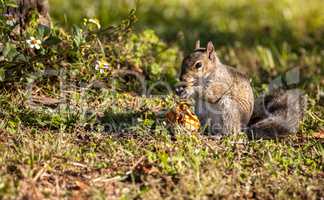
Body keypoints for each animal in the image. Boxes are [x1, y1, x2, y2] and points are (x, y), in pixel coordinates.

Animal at [177, 39, 306, 138]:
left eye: (198, 65)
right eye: (183, 60)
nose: (182, 78)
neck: (209, 73)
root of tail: (244, 126)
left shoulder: (221, 82)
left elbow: (211, 94)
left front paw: (190, 90)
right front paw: (180, 90)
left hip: (229, 108)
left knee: (231, 132)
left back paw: (218, 136)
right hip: (202, 112)